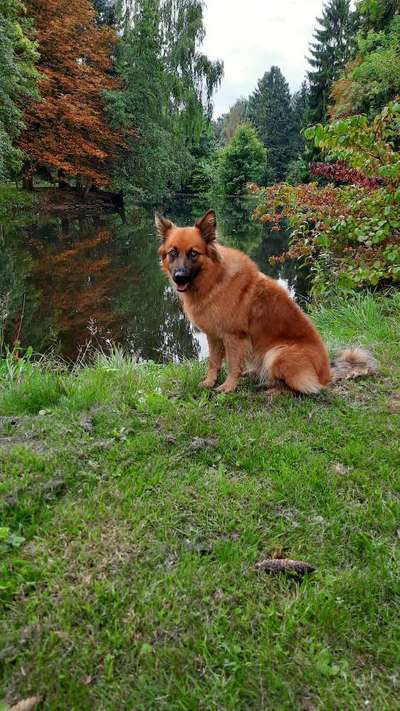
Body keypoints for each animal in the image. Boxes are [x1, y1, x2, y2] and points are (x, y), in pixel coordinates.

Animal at [156, 209, 377, 394]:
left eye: (193, 253)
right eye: (173, 252)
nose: (179, 277)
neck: (215, 279)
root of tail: (326, 374)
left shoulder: (234, 337)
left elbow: (233, 365)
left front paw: (228, 387)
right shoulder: (214, 336)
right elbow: (214, 362)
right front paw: (210, 382)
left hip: (277, 353)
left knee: (300, 387)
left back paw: (270, 388)